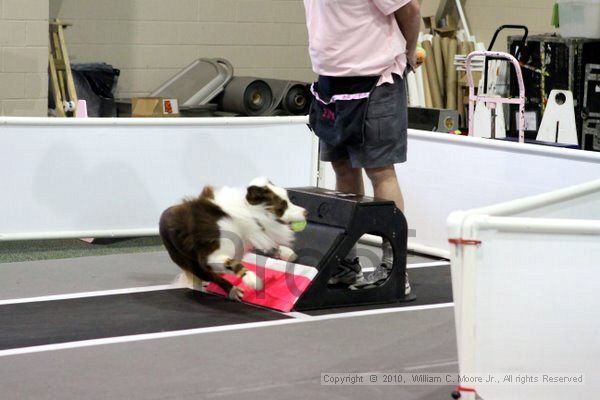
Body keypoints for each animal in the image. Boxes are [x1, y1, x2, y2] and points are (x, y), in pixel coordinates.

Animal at [159, 177, 308, 300]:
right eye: (283, 206)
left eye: (288, 201)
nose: (306, 212)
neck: (247, 212)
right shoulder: (210, 256)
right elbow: (234, 263)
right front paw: (253, 280)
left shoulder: (249, 238)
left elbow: (266, 244)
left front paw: (286, 252)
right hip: (190, 262)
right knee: (211, 275)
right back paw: (233, 290)